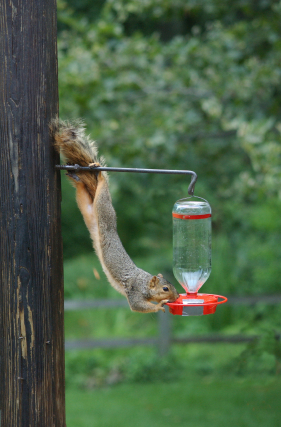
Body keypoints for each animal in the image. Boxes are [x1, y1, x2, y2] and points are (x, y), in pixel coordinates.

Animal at [50, 120, 177, 314]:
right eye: (165, 288)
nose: (177, 297)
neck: (144, 282)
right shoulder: (134, 291)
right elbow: (137, 306)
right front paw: (159, 306)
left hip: (89, 209)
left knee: (84, 195)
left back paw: (78, 179)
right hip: (105, 211)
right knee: (103, 191)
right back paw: (99, 174)